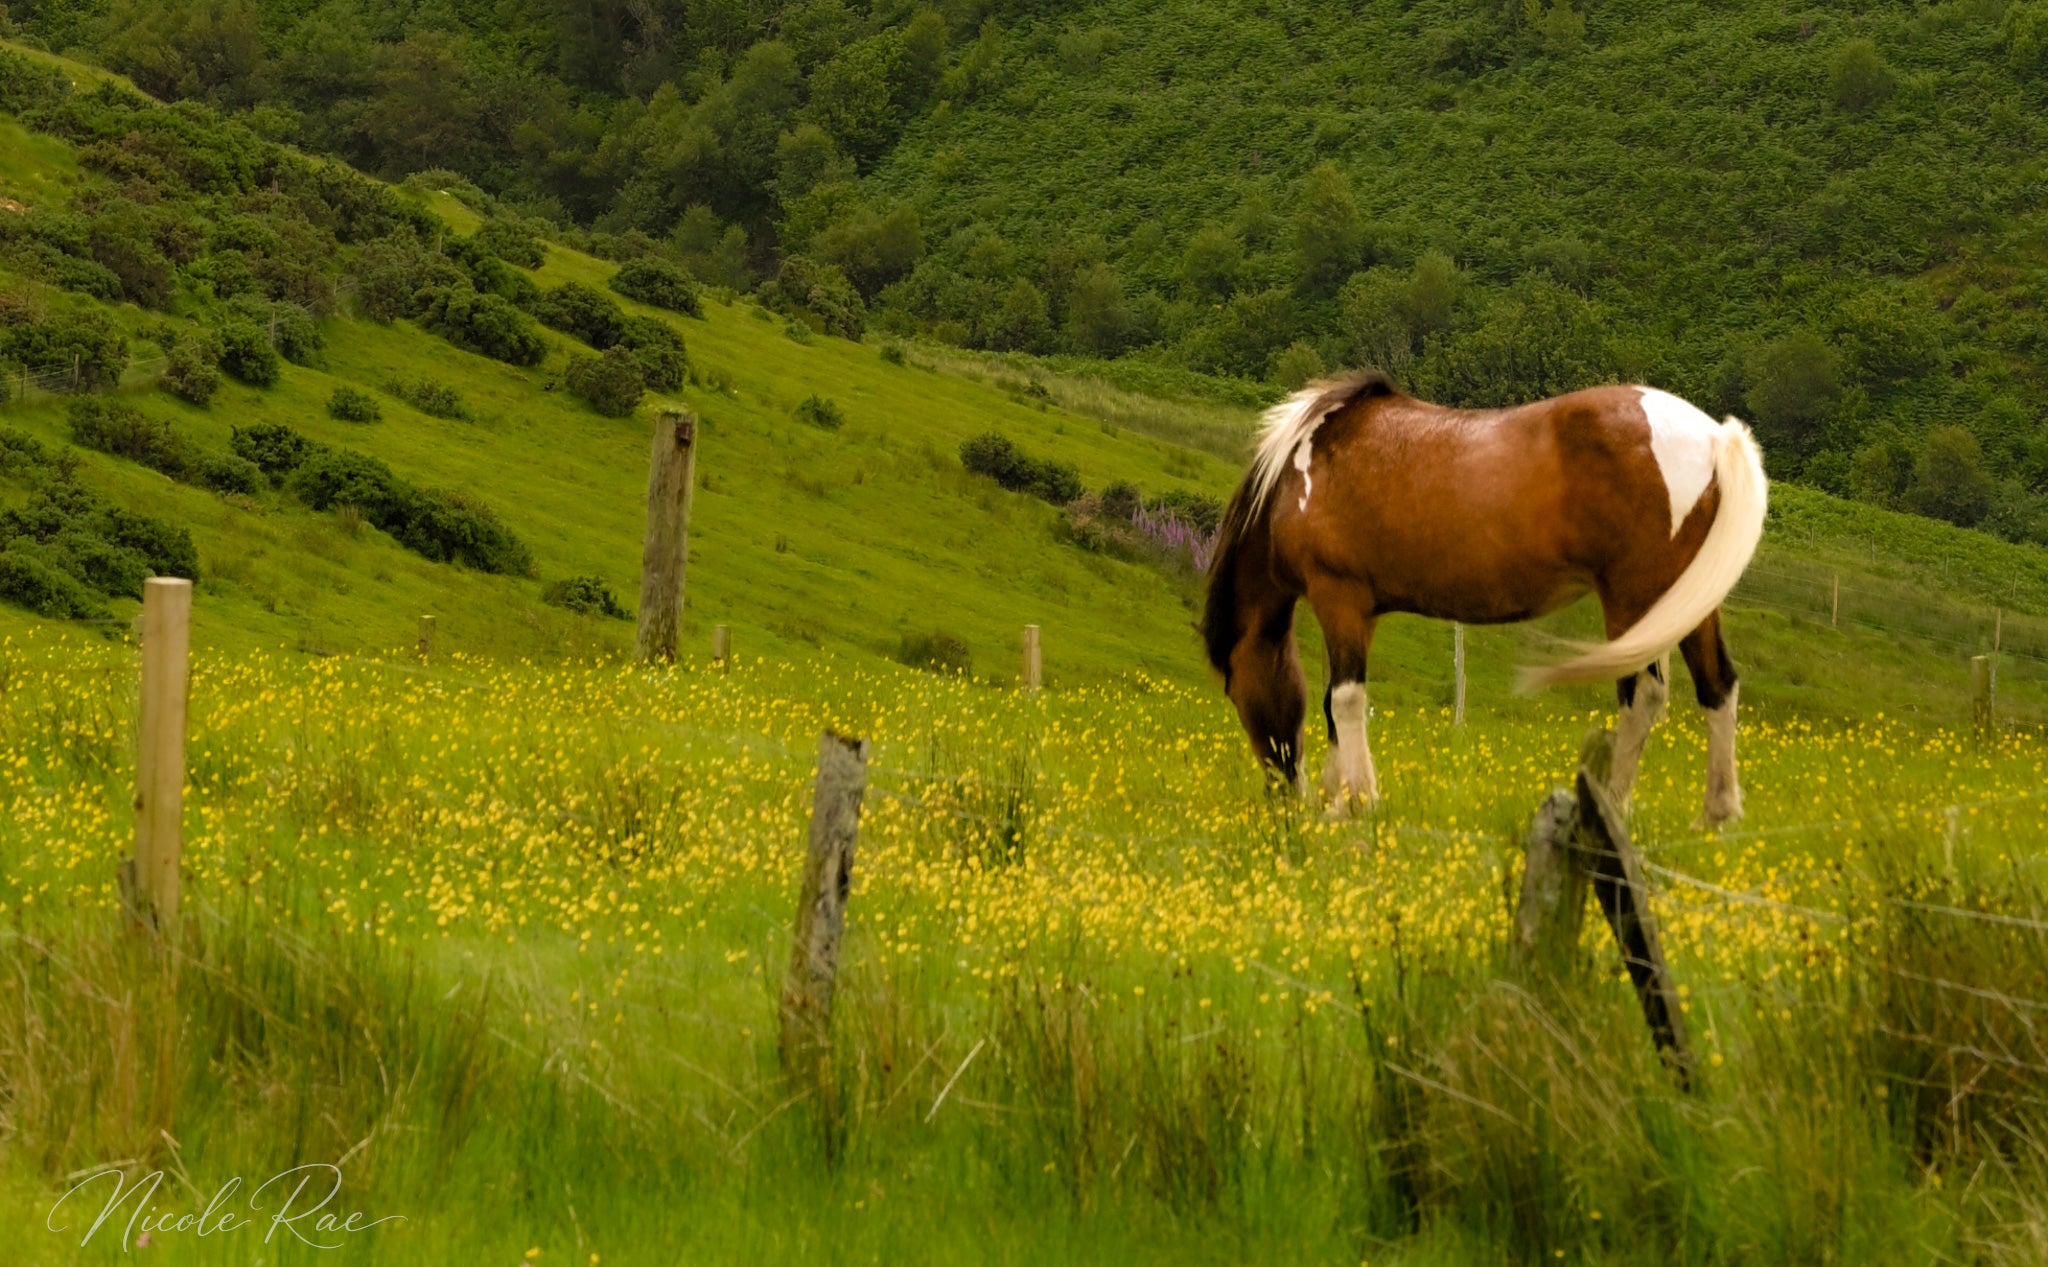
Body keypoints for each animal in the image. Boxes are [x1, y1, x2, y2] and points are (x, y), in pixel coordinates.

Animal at [1200, 371, 1768, 827]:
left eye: (1235, 690)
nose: (1281, 793)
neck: (1302, 473)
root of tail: (1713, 436)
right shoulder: (1356, 612)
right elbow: (1331, 703)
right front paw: (1335, 798)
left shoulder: (1339, 598)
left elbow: (1344, 700)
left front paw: (1355, 802)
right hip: (1687, 601)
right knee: (1717, 686)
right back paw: (1717, 815)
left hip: (1634, 599)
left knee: (1643, 697)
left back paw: (1612, 806)